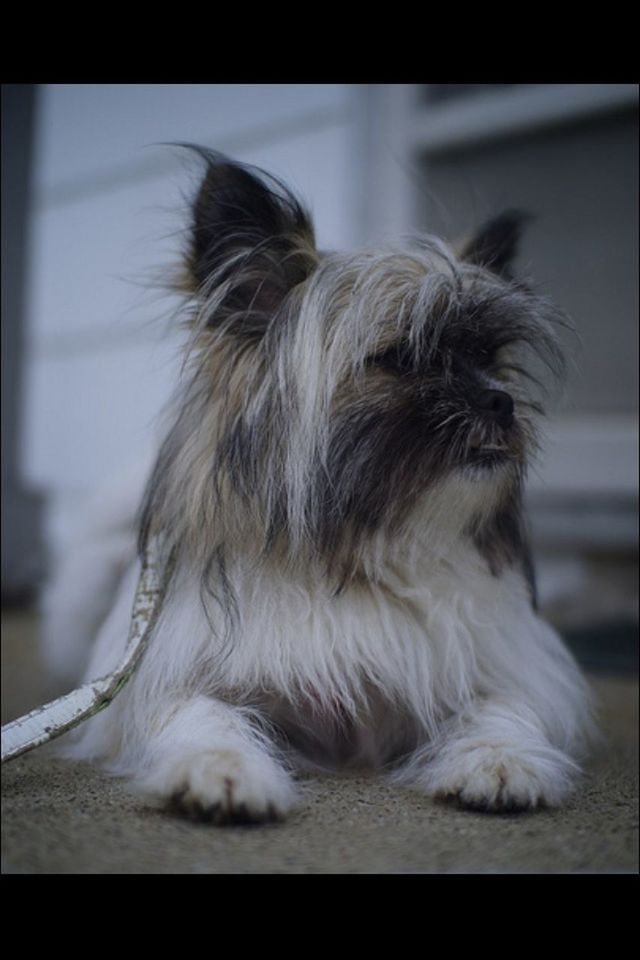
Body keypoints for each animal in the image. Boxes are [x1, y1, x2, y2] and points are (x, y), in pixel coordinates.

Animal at [43, 146, 596, 820]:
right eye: (400, 357)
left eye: (489, 358)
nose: (500, 402)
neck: (361, 556)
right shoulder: (168, 683)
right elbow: (200, 712)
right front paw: (220, 768)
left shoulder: (498, 669)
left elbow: (504, 707)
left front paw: (500, 761)